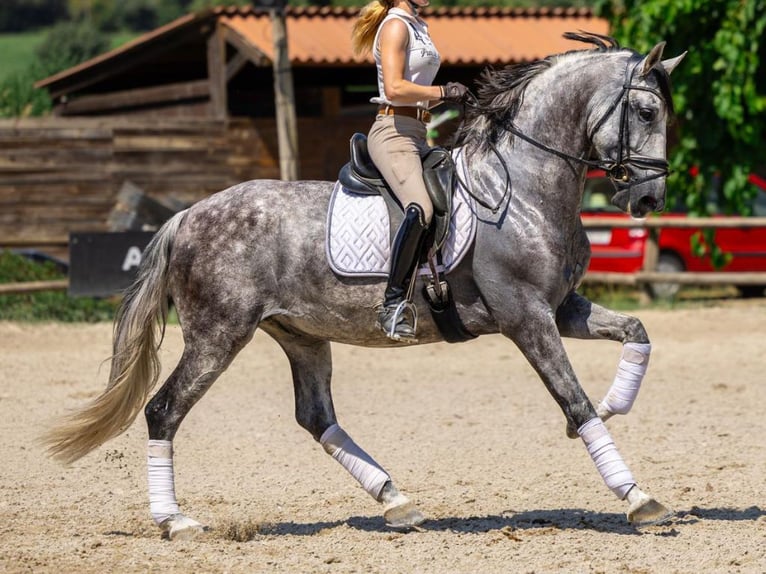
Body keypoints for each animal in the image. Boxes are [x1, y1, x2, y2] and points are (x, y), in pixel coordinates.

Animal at [45, 35, 688, 540]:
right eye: (646, 111)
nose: (649, 199)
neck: (525, 186)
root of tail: (187, 216)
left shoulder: (560, 307)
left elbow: (636, 331)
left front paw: (615, 403)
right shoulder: (526, 316)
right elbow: (572, 398)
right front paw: (637, 496)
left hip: (300, 335)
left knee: (315, 416)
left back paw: (397, 501)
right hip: (218, 336)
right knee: (164, 410)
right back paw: (175, 520)